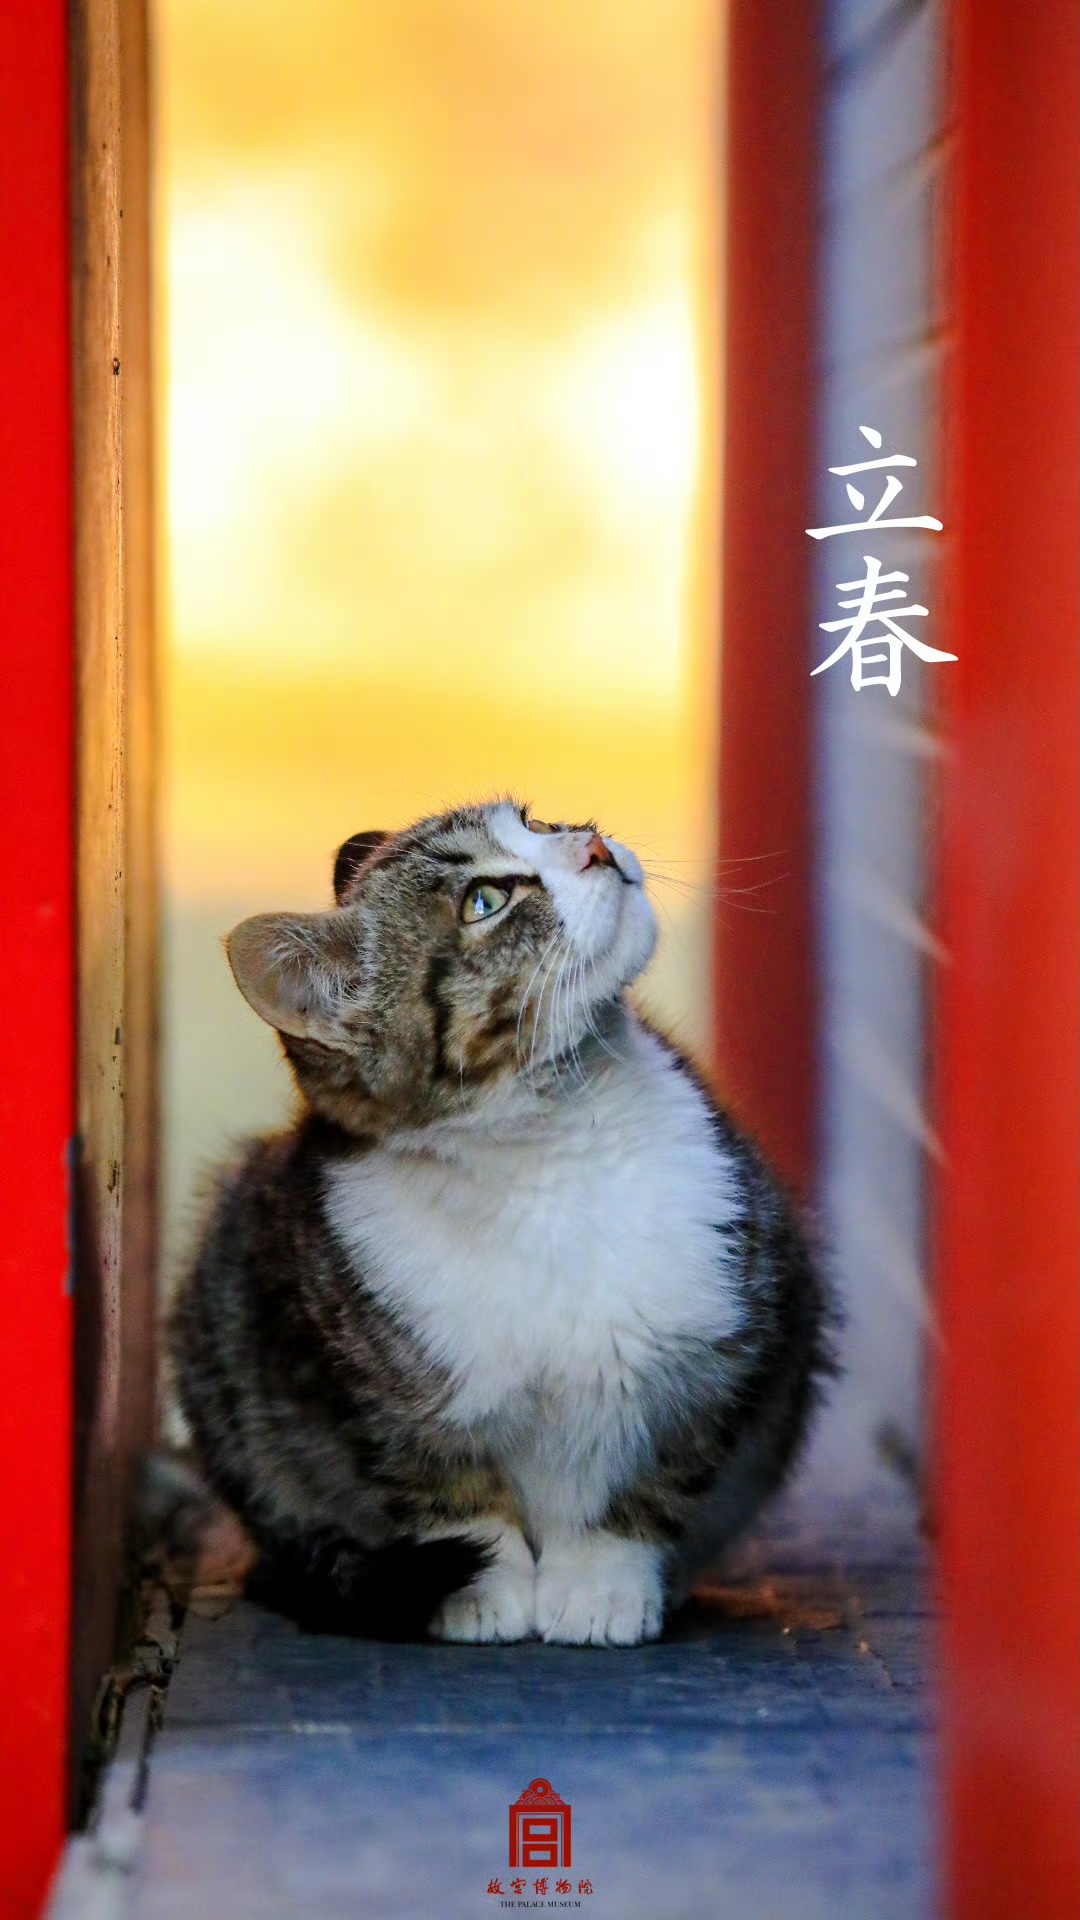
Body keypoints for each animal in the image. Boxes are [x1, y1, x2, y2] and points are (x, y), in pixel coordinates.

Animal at [169, 797, 833, 1646]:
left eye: (538, 820)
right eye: (483, 901)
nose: (591, 844)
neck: (553, 1145)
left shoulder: (735, 1337)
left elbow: (663, 1472)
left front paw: (604, 1579)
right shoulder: (378, 1390)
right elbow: (443, 1487)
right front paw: (487, 1586)